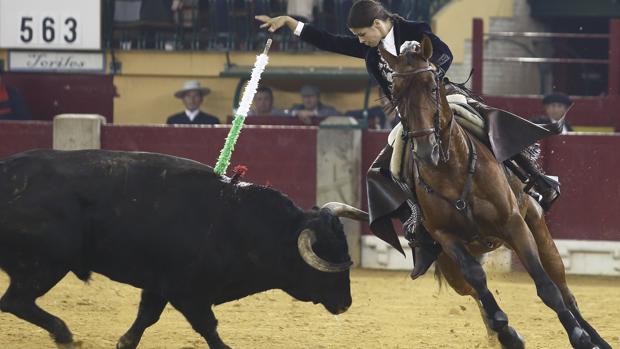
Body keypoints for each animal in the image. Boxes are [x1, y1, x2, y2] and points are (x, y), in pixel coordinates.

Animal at [0, 150, 368, 348]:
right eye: (329, 257)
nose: (346, 303)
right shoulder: (188, 293)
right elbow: (208, 327)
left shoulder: (159, 285)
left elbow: (146, 316)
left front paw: (124, 342)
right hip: (45, 264)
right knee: (15, 301)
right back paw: (65, 335)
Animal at [378, 38, 612, 348]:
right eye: (395, 93)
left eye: (432, 86)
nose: (427, 151)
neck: (451, 172)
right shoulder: (446, 237)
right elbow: (477, 279)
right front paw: (505, 328)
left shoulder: (513, 224)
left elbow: (546, 286)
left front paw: (579, 336)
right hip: (449, 266)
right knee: (473, 291)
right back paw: (507, 334)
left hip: (536, 227)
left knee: (562, 287)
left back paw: (594, 337)